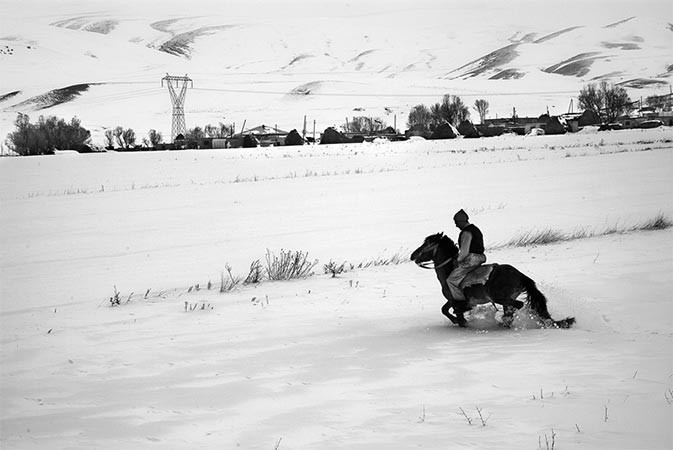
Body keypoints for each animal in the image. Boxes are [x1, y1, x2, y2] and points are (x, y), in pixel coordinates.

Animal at [410, 234, 572, 328]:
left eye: (426, 244)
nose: (412, 255)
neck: (449, 269)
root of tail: (520, 275)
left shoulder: (455, 299)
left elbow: (455, 313)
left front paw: (461, 321)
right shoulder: (452, 299)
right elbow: (444, 309)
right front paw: (457, 320)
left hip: (500, 297)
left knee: (517, 306)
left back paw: (503, 321)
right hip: (506, 298)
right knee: (512, 309)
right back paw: (504, 322)